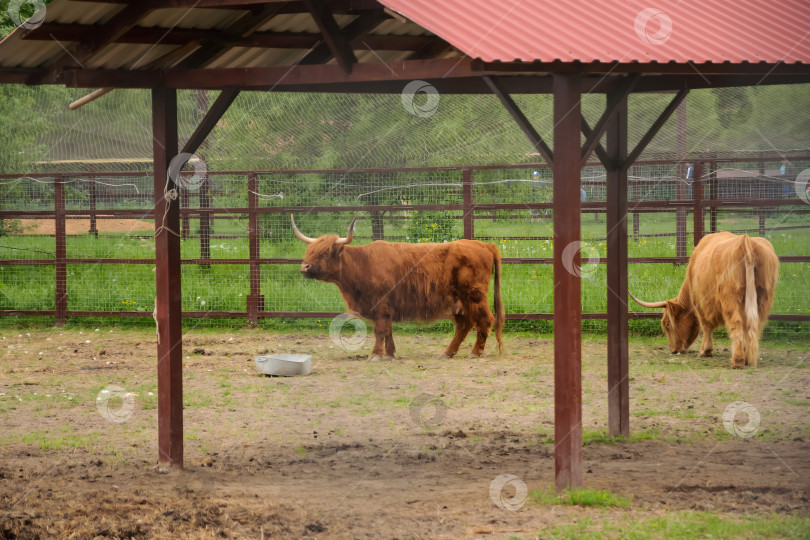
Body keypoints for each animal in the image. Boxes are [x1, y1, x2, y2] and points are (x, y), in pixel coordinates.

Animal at [290, 214, 504, 358]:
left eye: (325, 252)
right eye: (310, 250)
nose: (304, 266)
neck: (361, 264)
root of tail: (483, 245)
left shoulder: (380, 304)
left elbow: (380, 330)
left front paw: (375, 355)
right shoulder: (387, 306)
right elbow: (388, 330)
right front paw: (390, 353)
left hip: (474, 295)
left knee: (485, 320)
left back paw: (475, 352)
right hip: (459, 300)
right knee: (464, 324)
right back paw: (447, 352)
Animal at [632, 230, 776, 370]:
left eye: (667, 324)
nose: (673, 350)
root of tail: (746, 241)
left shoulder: (700, 302)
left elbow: (705, 325)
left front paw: (705, 351)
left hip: (731, 298)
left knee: (737, 323)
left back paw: (738, 360)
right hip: (763, 299)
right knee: (755, 326)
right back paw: (748, 358)